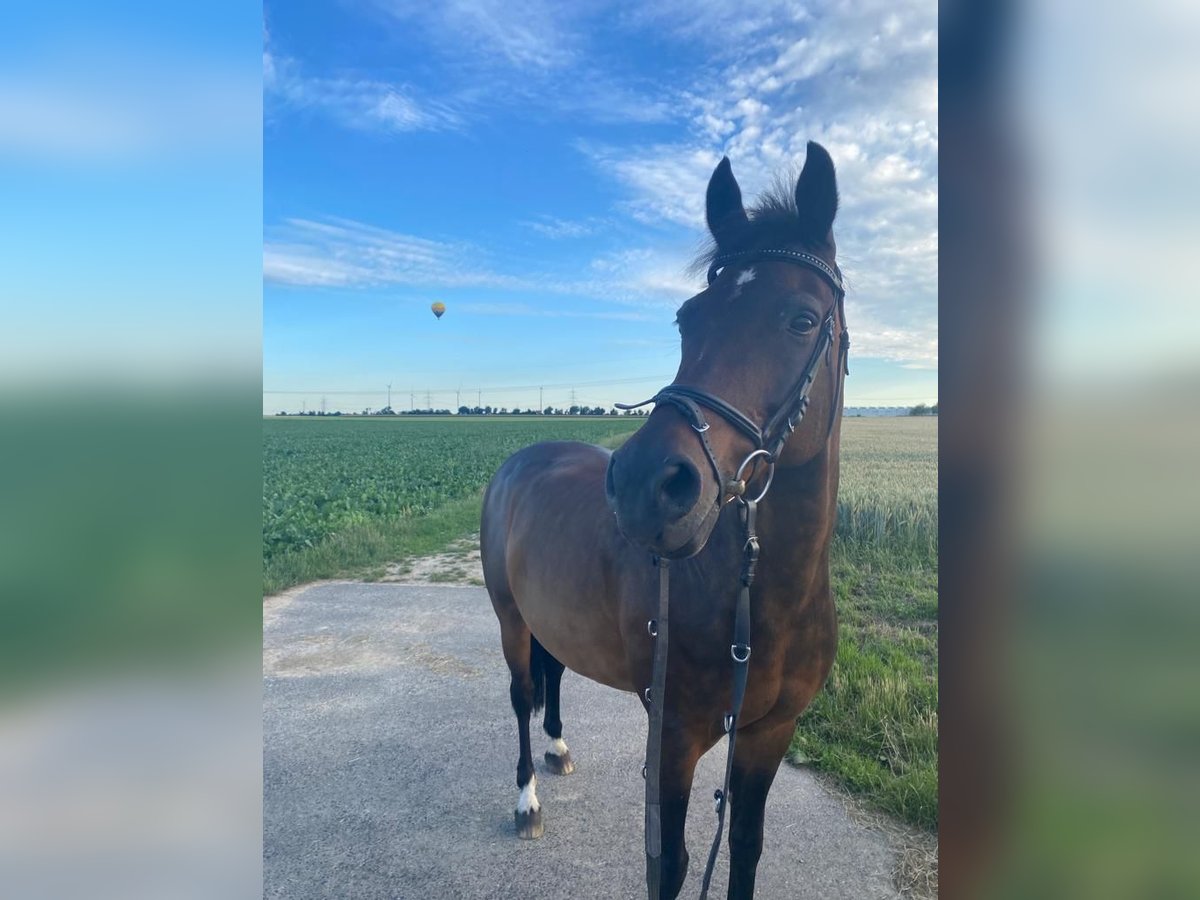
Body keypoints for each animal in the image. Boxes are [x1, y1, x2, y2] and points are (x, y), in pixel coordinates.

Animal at [482, 139, 849, 897]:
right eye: (687, 318)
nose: (645, 485)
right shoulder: (674, 738)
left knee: (554, 675)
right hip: (509, 619)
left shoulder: (768, 736)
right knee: (522, 692)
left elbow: (744, 848)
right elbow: (671, 864)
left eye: (802, 319)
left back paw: (559, 747)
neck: (757, 598)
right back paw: (528, 797)